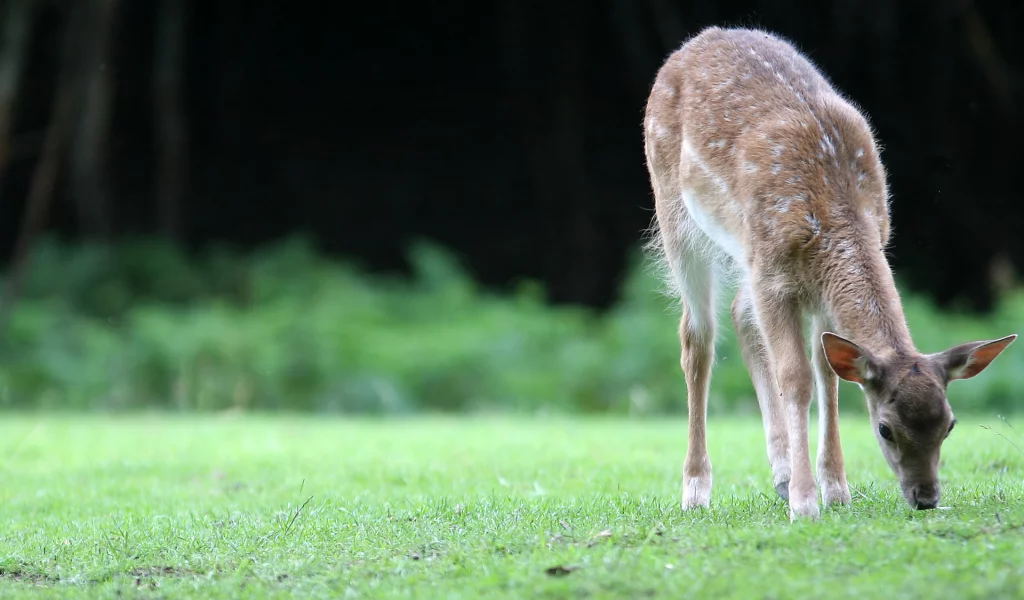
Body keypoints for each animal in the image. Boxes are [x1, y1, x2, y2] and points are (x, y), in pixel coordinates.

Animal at [643, 25, 1011, 518]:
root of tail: (695, 42)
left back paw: (779, 475)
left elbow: (828, 372)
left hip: (742, 253)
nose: (926, 498)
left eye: (950, 424)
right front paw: (805, 502)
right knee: (696, 337)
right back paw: (696, 489)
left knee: (740, 312)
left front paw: (835, 489)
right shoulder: (773, 274)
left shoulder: (815, 287)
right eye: (885, 428)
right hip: (675, 211)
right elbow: (796, 379)